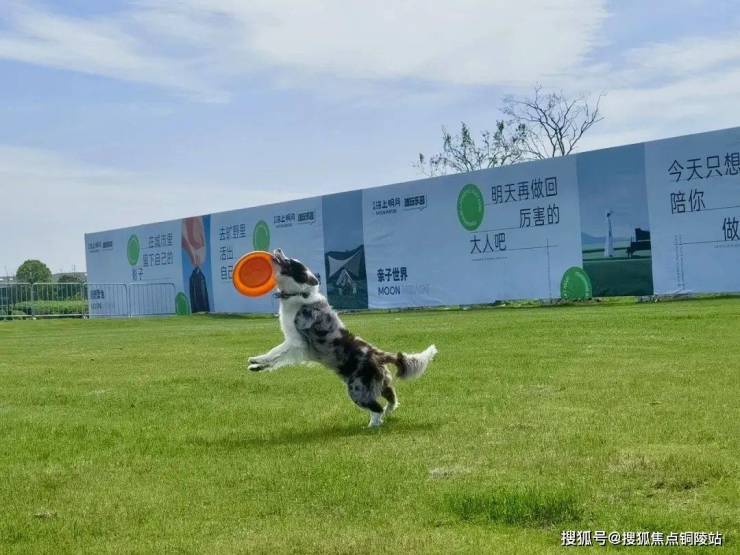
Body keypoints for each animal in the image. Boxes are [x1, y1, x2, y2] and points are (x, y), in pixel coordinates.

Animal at [247, 248, 438, 427]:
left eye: (290, 262)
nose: (278, 249)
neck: (299, 294)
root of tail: (377, 354)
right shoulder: (297, 349)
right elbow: (277, 360)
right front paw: (256, 366)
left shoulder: (296, 342)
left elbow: (274, 352)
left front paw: (257, 359)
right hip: (381, 384)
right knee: (392, 399)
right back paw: (387, 413)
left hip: (357, 390)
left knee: (376, 408)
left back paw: (372, 426)